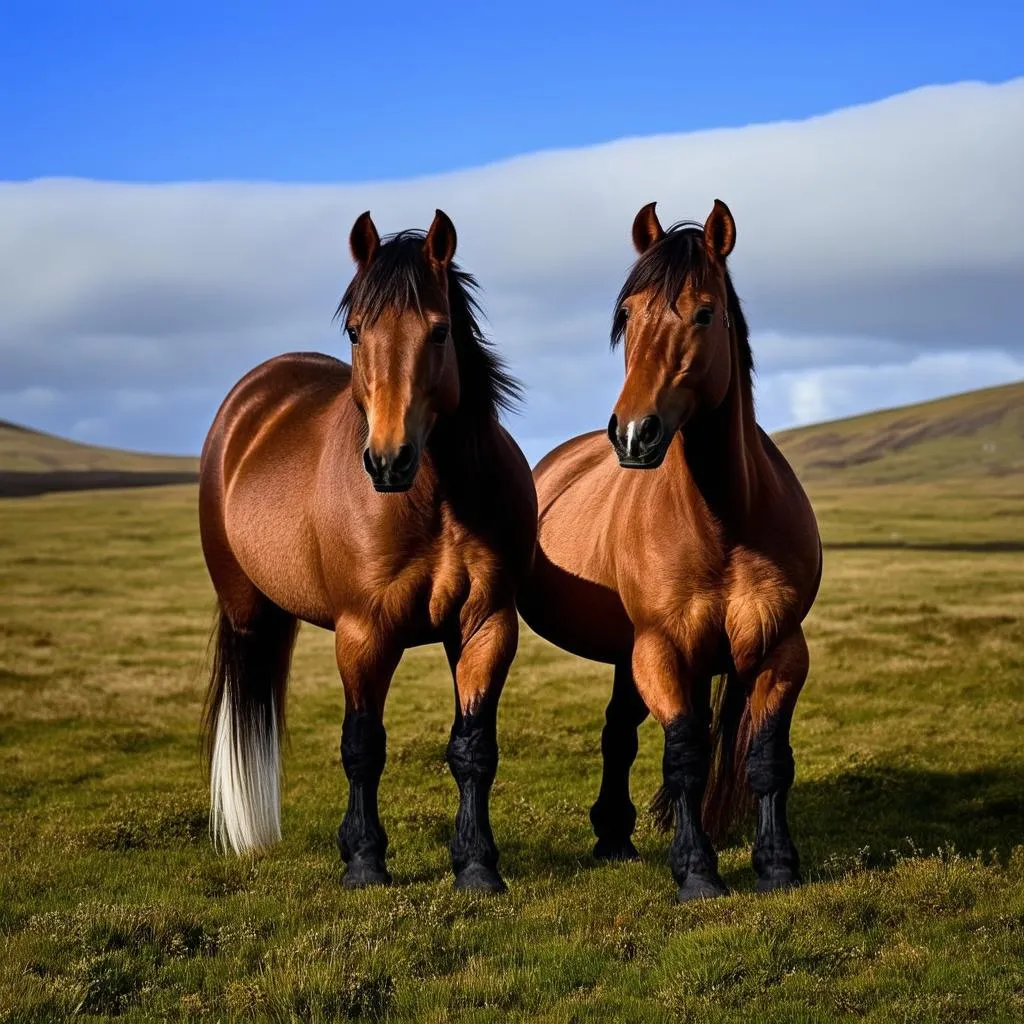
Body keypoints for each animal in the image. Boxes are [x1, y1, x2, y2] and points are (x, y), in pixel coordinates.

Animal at [195, 205, 540, 888]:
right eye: (355, 332)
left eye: (439, 331)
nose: (387, 460)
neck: (438, 500)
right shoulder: (364, 632)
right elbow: (362, 746)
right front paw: (362, 860)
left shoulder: (486, 625)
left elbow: (473, 748)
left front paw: (476, 864)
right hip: (248, 612)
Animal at [520, 201, 823, 905]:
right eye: (628, 314)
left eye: (704, 313)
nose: (634, 434)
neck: (726, 521)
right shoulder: (661, 650)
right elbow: (684, 754)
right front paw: (696, 871)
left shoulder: (781, 650)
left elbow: (767, 758)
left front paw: (777, 866)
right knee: (624, 737)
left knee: (619, 733)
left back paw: (613, 834)